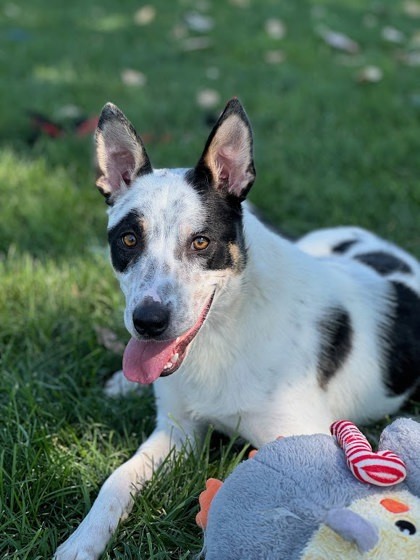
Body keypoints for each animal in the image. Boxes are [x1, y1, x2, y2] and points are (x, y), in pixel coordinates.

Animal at [54, 98, 420, 556]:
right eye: (128, 240)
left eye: (201, 242)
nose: (148, 323)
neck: (223, 333)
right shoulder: (178, 432)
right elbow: (118, 478)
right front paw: (83, 539)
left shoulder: (308, 438)